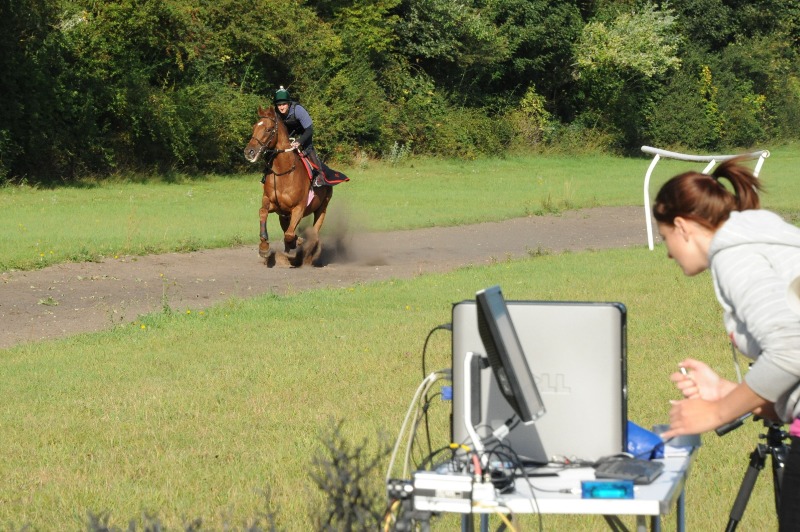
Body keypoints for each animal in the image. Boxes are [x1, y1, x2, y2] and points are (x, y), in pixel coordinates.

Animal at [242, 107, 332, 266]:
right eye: (254, 127)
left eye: (268, 129)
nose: (249, 152)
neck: (283, 173)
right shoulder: (273, 204)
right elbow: (263, 212)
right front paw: (264, 247)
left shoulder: (299, 208)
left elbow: (290, 234)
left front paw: (298, 243)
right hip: (284, 216)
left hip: (322, 208)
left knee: (315, 232)